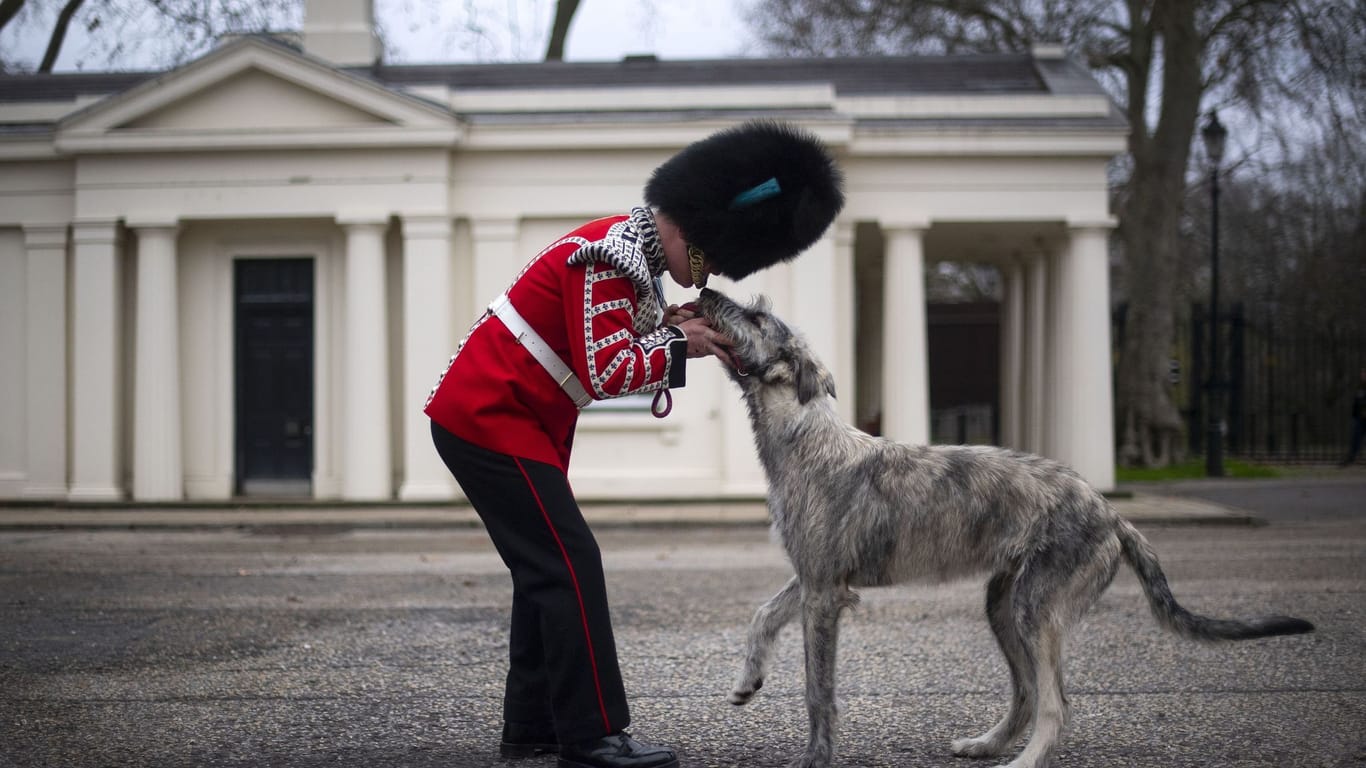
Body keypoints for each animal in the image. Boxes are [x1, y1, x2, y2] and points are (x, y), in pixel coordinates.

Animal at [693, 285, 1311, 765]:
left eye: (756, 317)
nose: (705, 292)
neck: (808, 439)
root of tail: (1112, 514)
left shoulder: (824, 593)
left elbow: (818, 690)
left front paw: (816, 757)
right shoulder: (813, 578)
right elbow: (763, 613)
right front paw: (747, 681)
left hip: (1038, 608)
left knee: (1056, 704)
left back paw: (1021, 762)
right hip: (1004, 605)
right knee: (1028, 692)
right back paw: (988, 744)